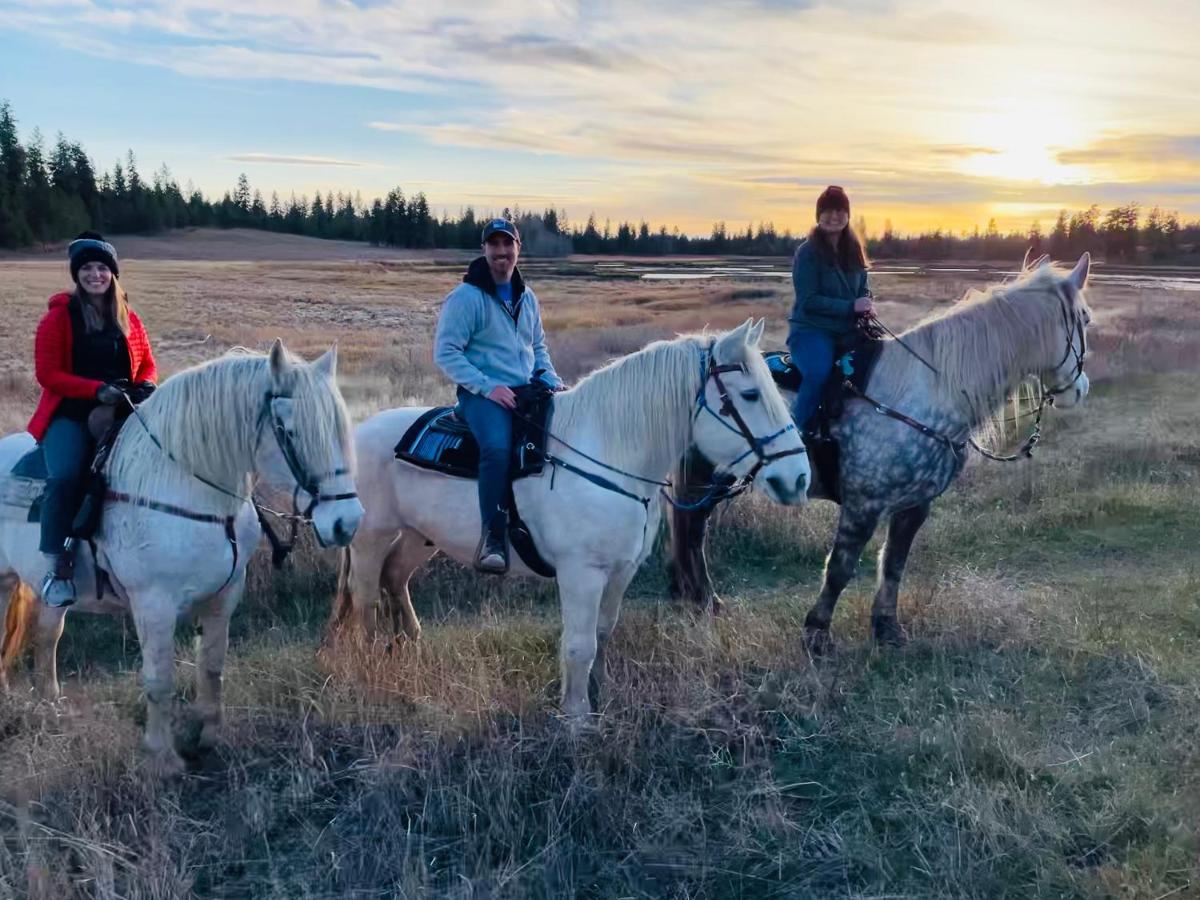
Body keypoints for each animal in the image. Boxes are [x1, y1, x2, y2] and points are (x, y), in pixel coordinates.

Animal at [1, 340, 364, 772]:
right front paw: (163, 758)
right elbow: (159, 680)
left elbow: (212, 666)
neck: (190, 491)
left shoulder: (224, 597)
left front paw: (210, 737)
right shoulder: (154, 604)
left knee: (47, 636)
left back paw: (49, 702)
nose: (347, 522)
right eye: (289, 431)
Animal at [333, 321, 811, 724]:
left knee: (395, 577)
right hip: (369, 538)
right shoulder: (581, 573)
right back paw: (372, 661)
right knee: (365, 596)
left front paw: (598, 695)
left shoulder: (620, 571)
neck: (607, 454)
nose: (798, 478)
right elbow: (579, 645)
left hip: (419, 536)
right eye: (749, 395)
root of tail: (360, 433)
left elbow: (602, 633)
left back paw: (410, 642)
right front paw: (576, 719)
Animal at [672, 254, 1094, 657]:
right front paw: (816, 634)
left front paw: (887, 629)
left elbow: (893, 564)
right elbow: (840, 568)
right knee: (691, 530)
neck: (927, 393)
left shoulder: (915, 505)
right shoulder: (864, 503)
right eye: (1086, 319)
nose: (1080, 390)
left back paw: (701, 601)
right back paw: (704, 600)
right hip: (703, 478)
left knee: (692, 529)